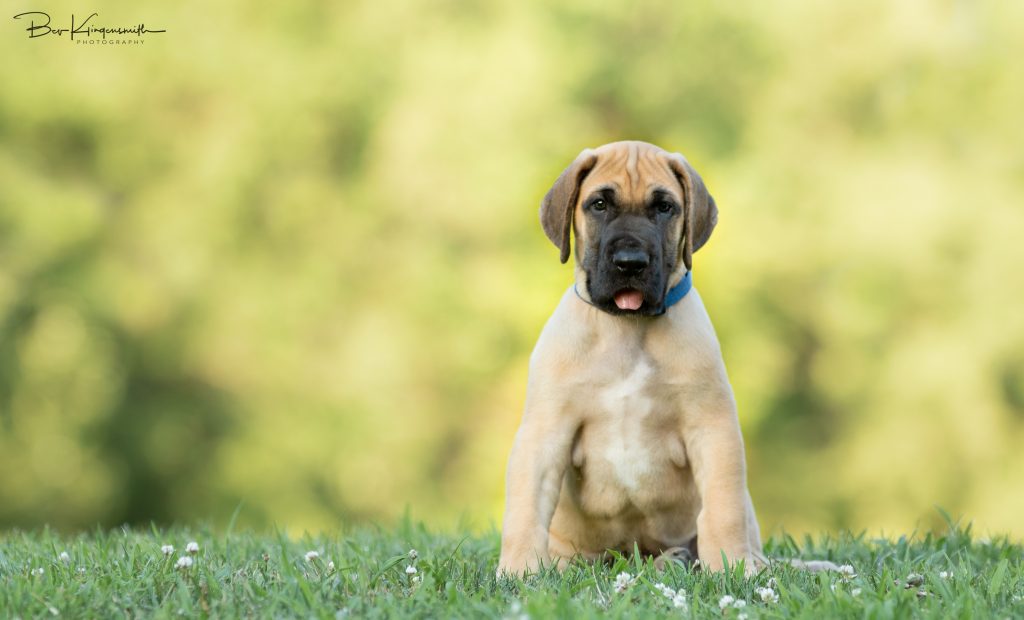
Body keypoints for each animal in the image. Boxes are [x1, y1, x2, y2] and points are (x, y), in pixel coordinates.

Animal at [499, 140, 765, 573]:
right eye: (599, 204)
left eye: (665, 207)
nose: (630, 263)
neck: (628, 330)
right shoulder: (545, 431)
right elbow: (525, 510)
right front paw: (518, 570)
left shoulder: (712, 427)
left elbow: (722, 509)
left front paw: (731, 567)